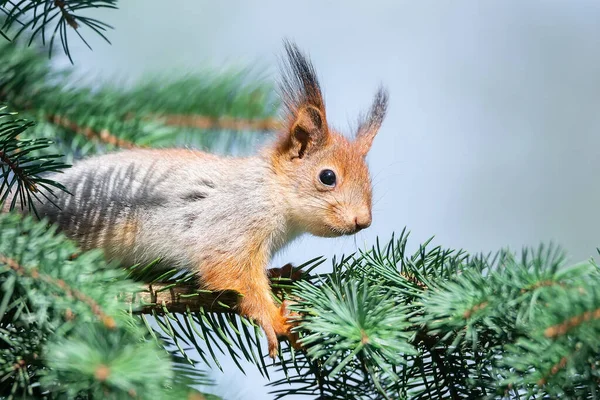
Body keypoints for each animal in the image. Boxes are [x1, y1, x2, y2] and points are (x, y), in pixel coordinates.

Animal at [3, 42, 390, 358]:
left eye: (370, 178)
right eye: (327, 177)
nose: (363, 221)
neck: (270, 191)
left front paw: (281, 272)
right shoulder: (231, 226)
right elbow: (230, 273)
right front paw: (273, 318)